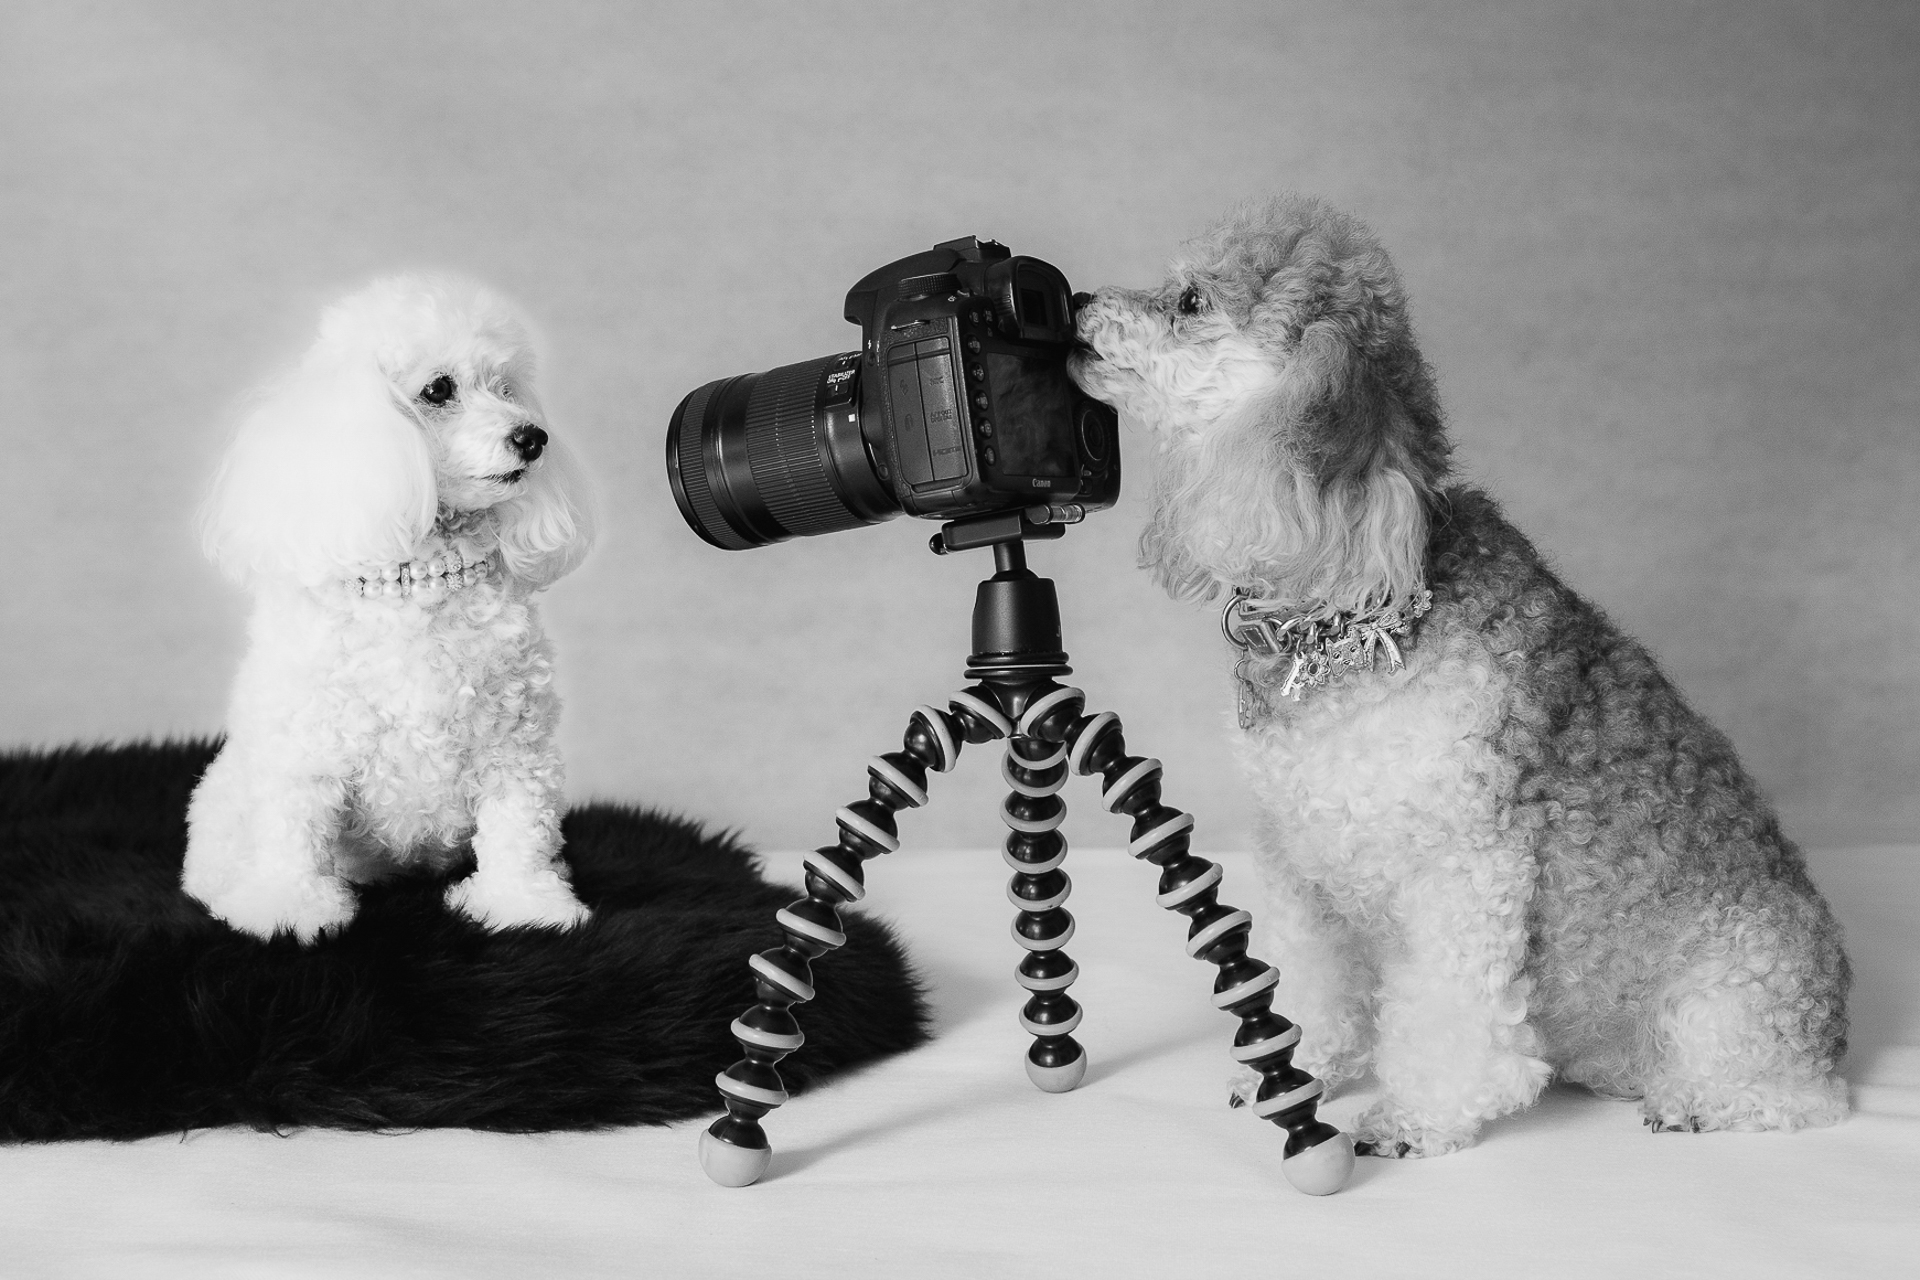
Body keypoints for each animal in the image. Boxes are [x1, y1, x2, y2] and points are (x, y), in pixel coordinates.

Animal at [185, 276, 595, 942]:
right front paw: (287, 909)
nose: (533, 438)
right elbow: (292, 836)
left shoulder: (513, 745)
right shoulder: (305, 750)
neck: (415, 583)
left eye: (507, 388)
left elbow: (516, 831)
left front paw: (525, 905)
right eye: (439, 389)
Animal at [1069, 197, 1850, 1157]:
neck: (1355, 616)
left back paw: (1703, 1101)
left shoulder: (1464, 873)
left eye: (1189, 299)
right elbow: (1308, 982)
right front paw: (1299, 1071)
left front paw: (1416, 1116)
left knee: (1807, 1099)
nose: (1074, 300)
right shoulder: (1297, 860)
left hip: (1738, 991)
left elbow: (1446, 1016)